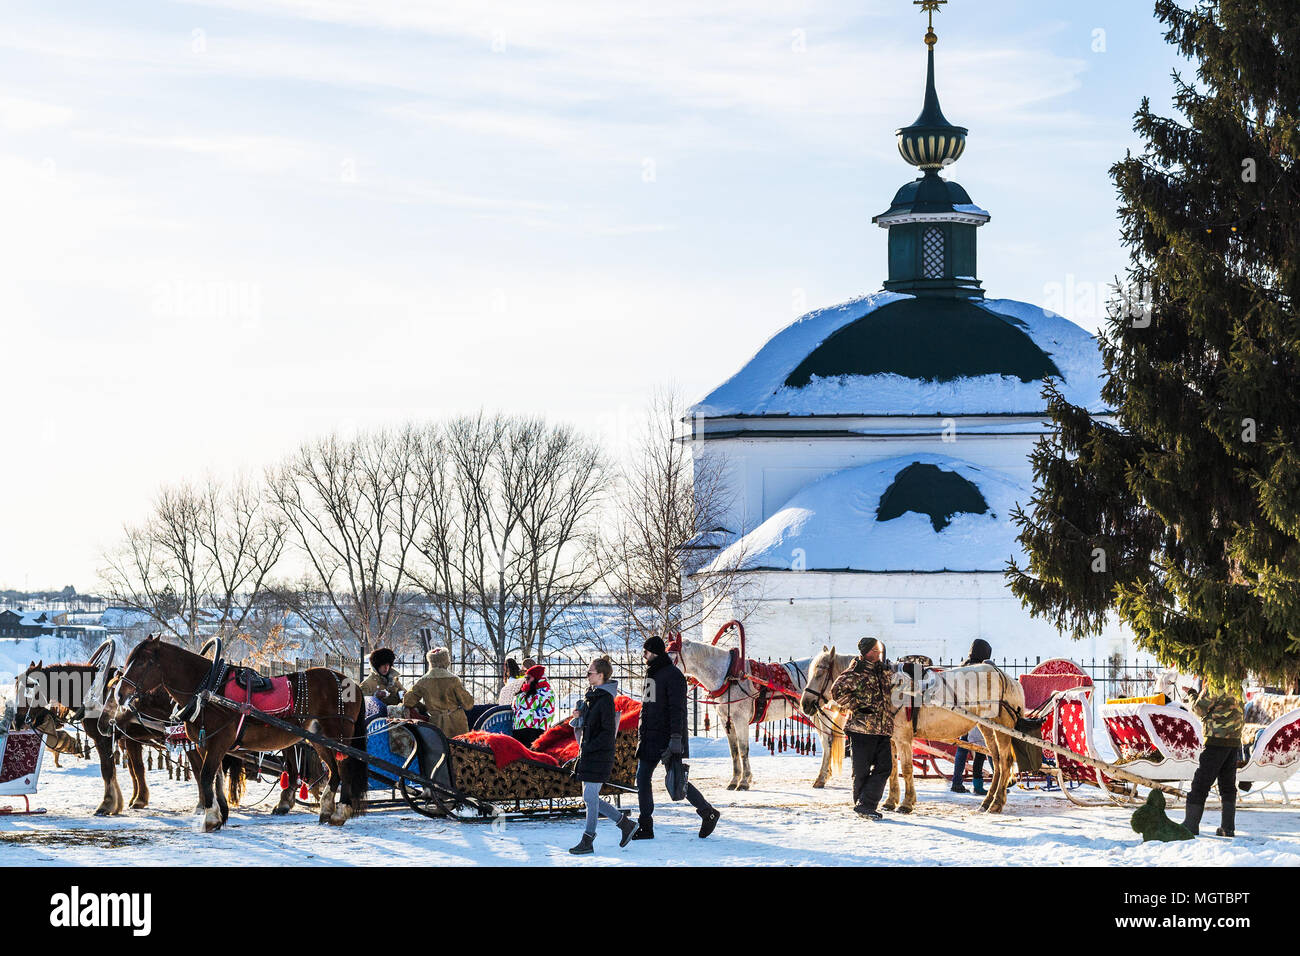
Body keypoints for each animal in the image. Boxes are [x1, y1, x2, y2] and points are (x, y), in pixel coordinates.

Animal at [114, 634, 366, 832]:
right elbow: (215, 778)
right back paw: (326, 811)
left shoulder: (218, 742)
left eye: (143, 663)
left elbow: (206, 776)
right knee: (334, 772)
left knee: (344, 767)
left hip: (338, 736)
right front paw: (220, 815)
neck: (208, 688)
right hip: (320, 739)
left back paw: (339, 812)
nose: (119, 694)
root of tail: (350, 681)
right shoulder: (206, 745)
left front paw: (210, 819)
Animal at [665, 639, 847, 790]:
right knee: (825, 742)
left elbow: (743, 749)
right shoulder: (726, 721)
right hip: (815, 712)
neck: (728, 676)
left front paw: (744, 781)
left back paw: (821, 778)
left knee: (828, 741)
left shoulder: (740, 720)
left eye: (672, 658)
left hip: (822, 712)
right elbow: (734, 751)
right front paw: (734, 780)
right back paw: (824, 776)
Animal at [800, 647, 1024, 811]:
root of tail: (1007, 678)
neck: (888, 687)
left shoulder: (903, 738)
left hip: (1003, 727)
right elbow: (892, 769)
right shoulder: (890, 739)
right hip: (987, 727)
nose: (805, 704)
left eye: (820, 672)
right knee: (996, 760)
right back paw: (988, 800)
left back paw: (996, 804)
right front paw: (890, 801)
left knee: (1005, 761)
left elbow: (906, 769)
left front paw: (907, 803)